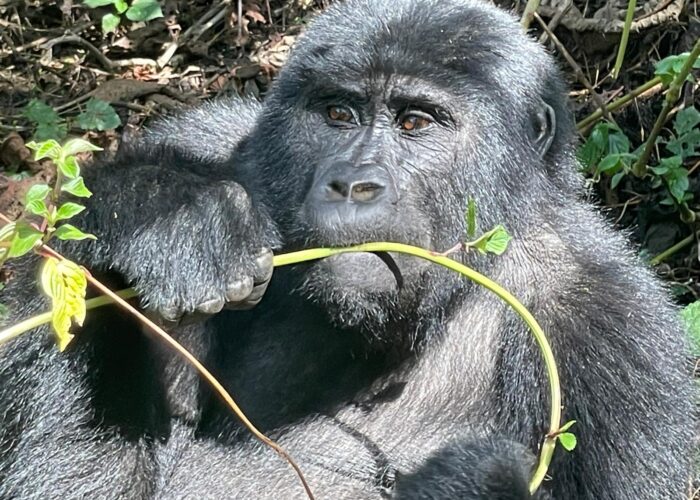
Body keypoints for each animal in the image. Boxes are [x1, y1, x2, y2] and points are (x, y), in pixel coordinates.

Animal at [0, 0, 692, 500]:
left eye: (416, 123)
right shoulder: (223, 139)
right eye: (338, 113)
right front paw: (168, 213)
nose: (353, 183)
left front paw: (474, 481)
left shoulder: (612, 333)